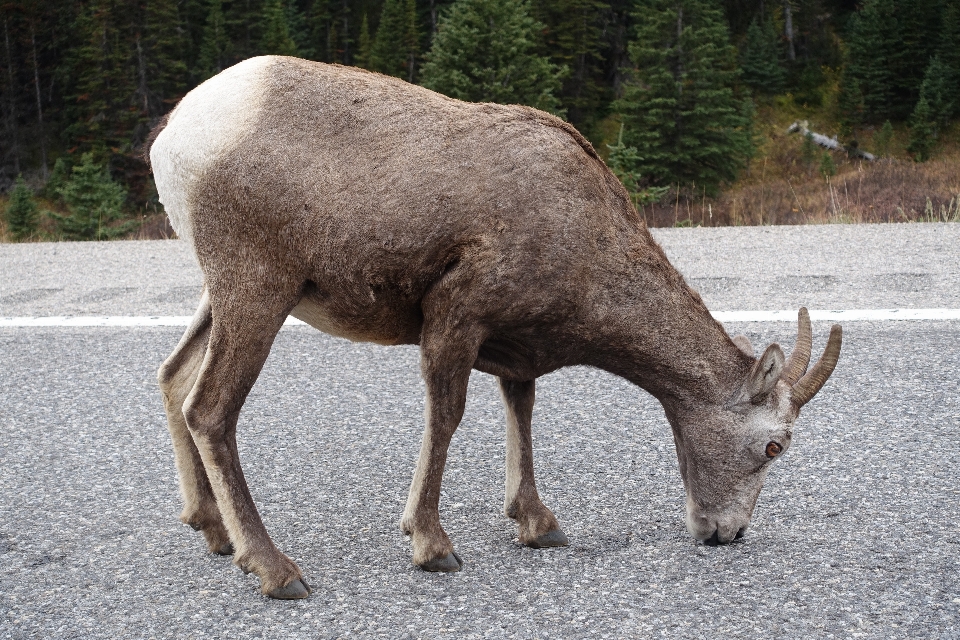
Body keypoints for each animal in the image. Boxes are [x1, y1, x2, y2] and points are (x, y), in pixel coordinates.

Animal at [146, 56, 844, 600]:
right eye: (773, 446)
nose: (727, 534)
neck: (585, 240)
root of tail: (174, 135)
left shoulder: (514, 349)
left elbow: (522, 412)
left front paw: (538, 526)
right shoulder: (456, 317)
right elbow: (447, 419)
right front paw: (431, 546)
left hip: (222, 295)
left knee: (174, 377)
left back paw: (213, 533)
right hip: (258, 289)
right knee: (210, 408)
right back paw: (277, 571)